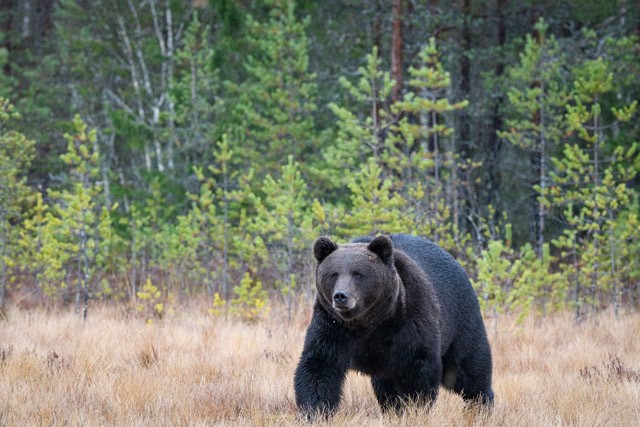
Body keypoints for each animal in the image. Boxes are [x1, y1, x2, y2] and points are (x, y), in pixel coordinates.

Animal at [293, 234, 494, 418]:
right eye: (333, 274)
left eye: (357, 273)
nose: (341, 296)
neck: (370, 322)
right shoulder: (332, 327)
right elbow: (319, 366)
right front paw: (315, 411)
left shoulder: (409, 321)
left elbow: (418, 369)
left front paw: (415, 409)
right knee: (385, 386)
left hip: (460, 320)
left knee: (468, 369)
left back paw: (481, 406)